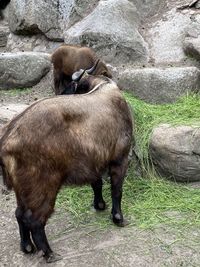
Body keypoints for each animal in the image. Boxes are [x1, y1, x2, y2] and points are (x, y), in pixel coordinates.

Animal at [1, 73, 133, 262]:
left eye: (71, 86)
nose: (61, 93)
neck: (104, 88)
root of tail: (7, 139)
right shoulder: (119, 159)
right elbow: (117, 190)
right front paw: (118, 218)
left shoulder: (93, 162)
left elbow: (97, 184)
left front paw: (100, 205)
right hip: (43, 186)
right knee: (34, 220)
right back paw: (49, 253)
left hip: (22, 190)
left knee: (19, 214)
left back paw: (27, 247)